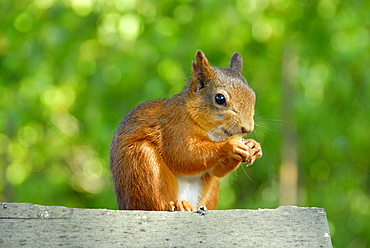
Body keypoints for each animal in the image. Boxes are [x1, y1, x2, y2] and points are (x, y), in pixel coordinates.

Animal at [110, 50, 264, 211]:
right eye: (220, 98)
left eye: (253, 96)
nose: (247, 128)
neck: (212, 133)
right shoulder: (173, 128)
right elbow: (183, 155)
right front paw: (230, 146)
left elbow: (215, 170)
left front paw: (254, 146)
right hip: (141, 163)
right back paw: (177, 205)